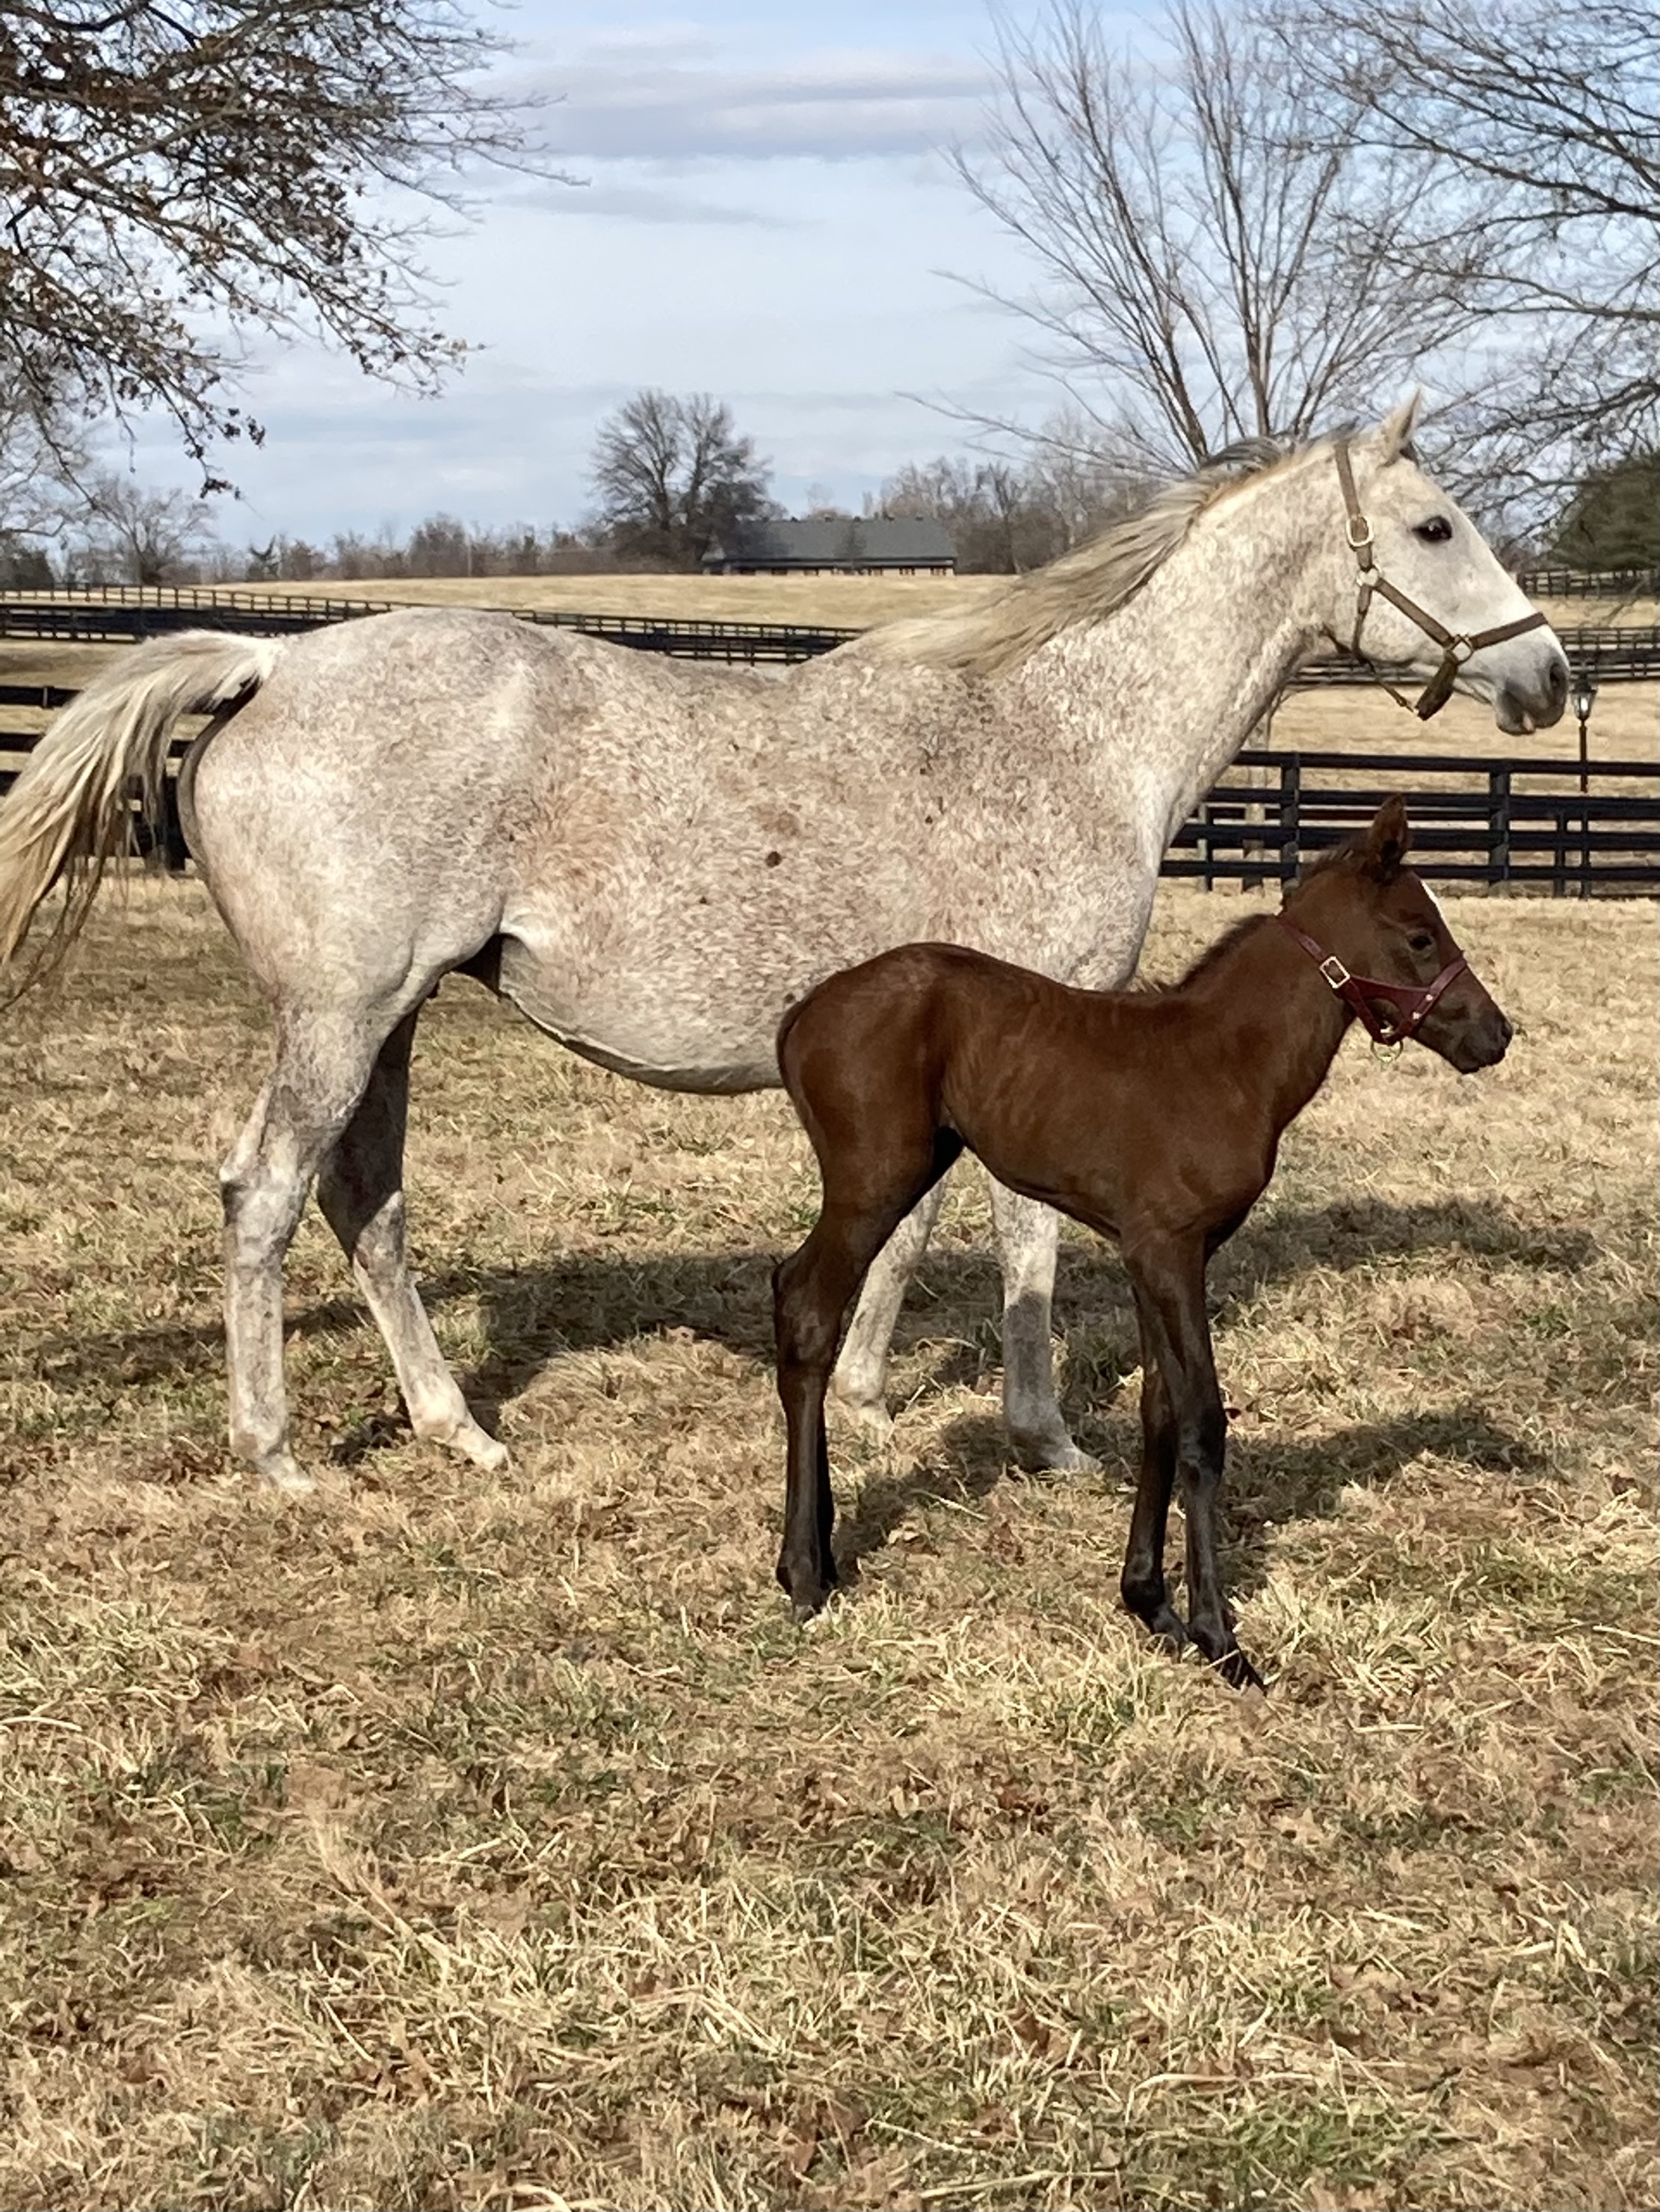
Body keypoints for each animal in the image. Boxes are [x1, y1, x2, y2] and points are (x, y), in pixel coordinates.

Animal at [774, 805, 1511, 1680]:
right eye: (1420, 935)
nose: (1496, 1034)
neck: (1225, 1063)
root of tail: (804, 1013)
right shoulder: (1170, 1250)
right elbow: (1201, 1419)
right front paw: (1220, 1638)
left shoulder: (1151, 1253)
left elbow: (1158, 1407)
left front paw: (1150, 1603)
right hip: (874, 1179)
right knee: (807, 1312)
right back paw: (804, 1572)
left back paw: (816, 1555)